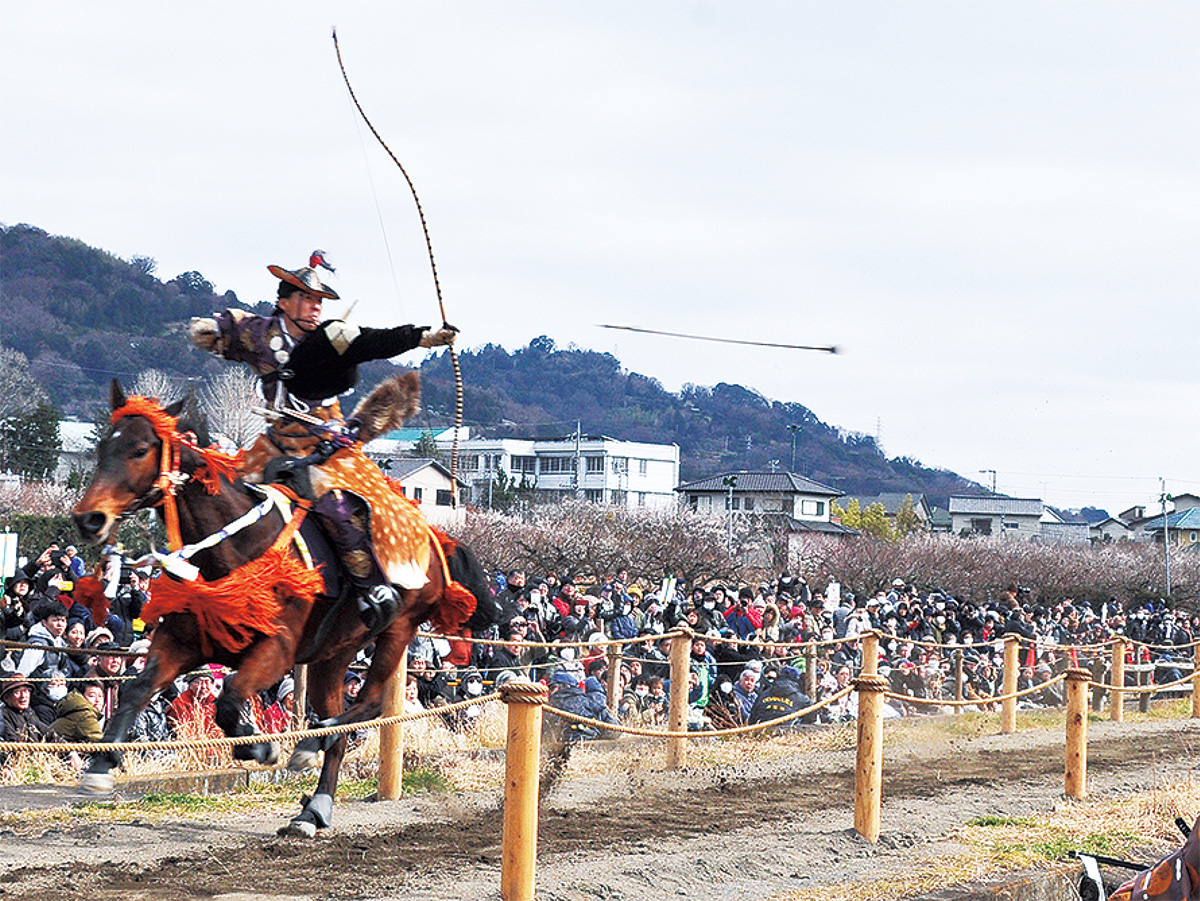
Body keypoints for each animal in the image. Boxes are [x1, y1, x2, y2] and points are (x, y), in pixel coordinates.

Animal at [69, 379, 492, 839]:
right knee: (341, 721)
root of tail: (436, 538)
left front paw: (260, 747)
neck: (232, 546)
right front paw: (101, 764)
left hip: (398, 630)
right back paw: (314, 806)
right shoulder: (182, 642)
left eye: (140, 449)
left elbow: (230, 699)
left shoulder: (276, 649)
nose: (89, 518)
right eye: (102, 448)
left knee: (369, 704)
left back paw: (311, 743)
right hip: (334, 653)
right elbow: (138, 688)